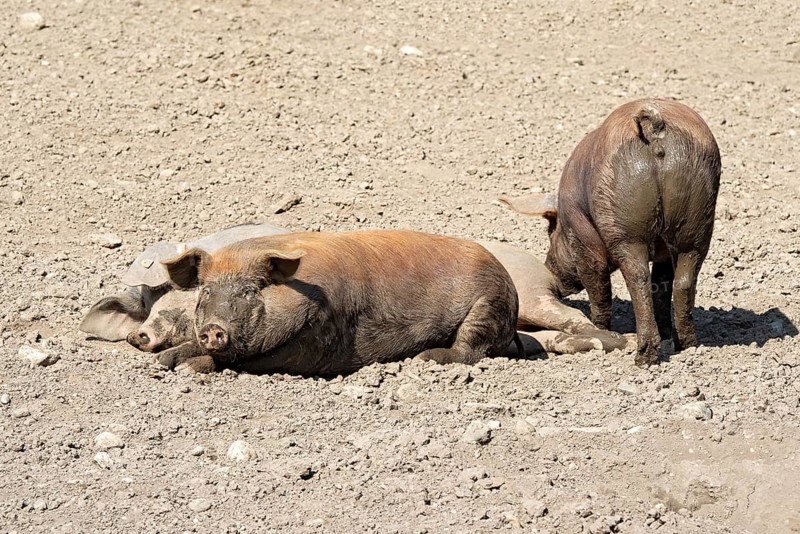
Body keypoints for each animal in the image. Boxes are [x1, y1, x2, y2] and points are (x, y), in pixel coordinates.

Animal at [155, 230, 521, 375]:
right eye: (206, 292)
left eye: (250, 290)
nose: (214, 329)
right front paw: (163, 361)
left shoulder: (317, 341)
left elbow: (248, 360)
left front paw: (187, 367)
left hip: (488, 306)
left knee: (471, 349)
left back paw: (424, 358)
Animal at [500, 98, 721, 366]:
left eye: (550, 232)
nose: (550, 271)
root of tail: (655, 128)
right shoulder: (664, 251)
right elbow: (662, 285)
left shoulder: (583, 238)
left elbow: (599, 289)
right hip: (698, 223)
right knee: (682, 281)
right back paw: (687, 346)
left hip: (623, 226)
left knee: (637, 278)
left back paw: (643, 358)